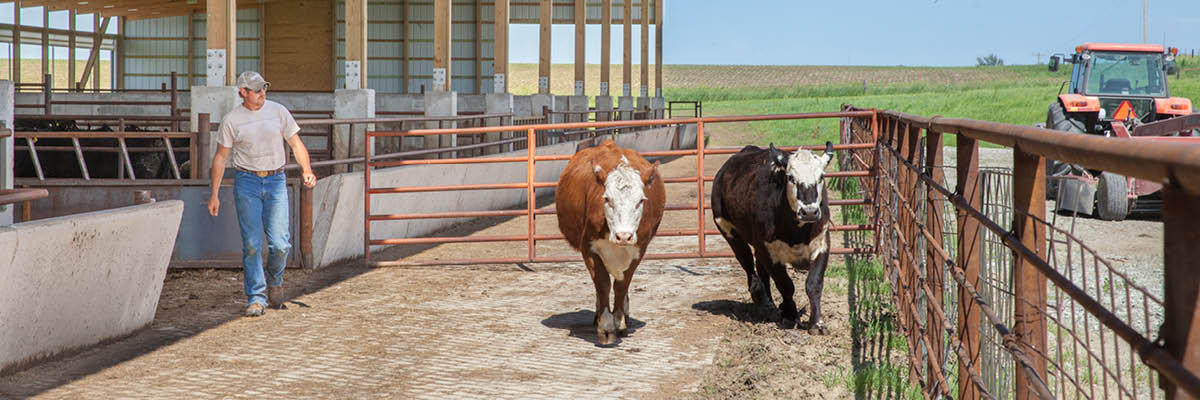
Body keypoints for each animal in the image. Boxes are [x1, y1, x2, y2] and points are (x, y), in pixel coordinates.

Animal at [552, 138, 667, 343]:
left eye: (641, 200)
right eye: (606, 198)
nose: (624, 236)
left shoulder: (639, 249)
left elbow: (622, 285)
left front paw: (619, 321)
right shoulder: (589, 247)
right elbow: (603, 283)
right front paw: (606, 326)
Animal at [710, 139, 835, 333]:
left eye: (821, 176)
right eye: (790, 177)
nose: (809, 212)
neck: (796, 232)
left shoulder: (821, 244)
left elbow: (813, 284)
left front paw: (817, 324)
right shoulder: (768, 251)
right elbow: (785, 285)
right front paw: (790, 316)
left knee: (760, 269)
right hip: (728, 230)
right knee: (748, 264)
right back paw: (763, 300)